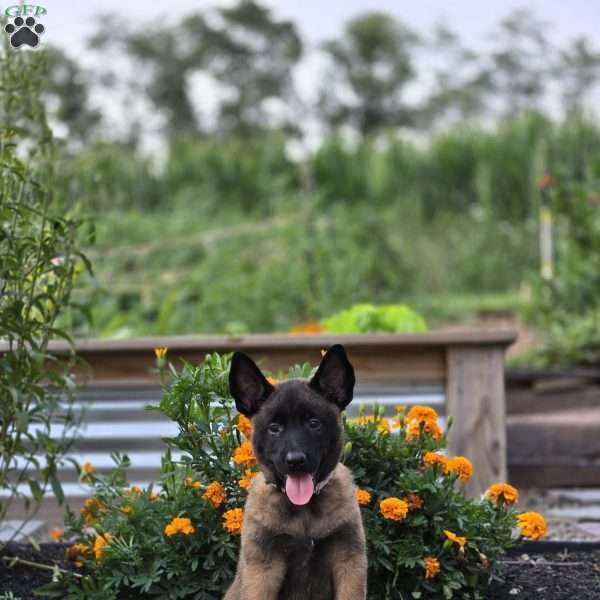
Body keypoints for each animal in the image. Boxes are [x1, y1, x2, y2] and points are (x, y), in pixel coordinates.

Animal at [224, 342, 366, 600]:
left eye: (313, 423)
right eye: (274, 428)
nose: (295, 461)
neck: (304, 511)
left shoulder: (349, 562)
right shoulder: (263, 569)